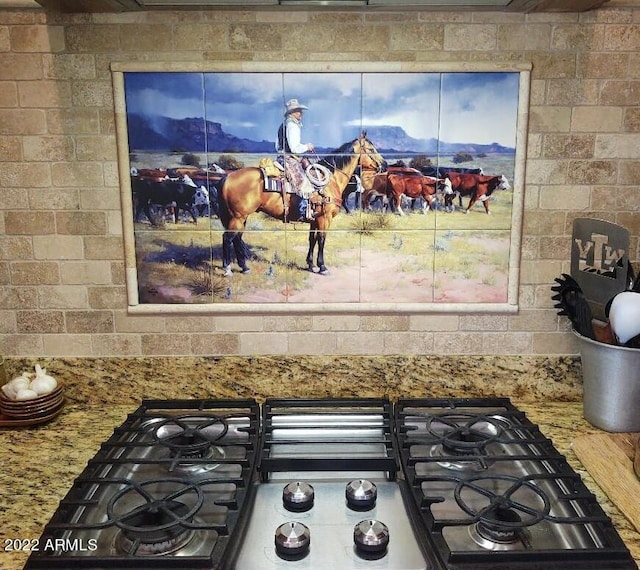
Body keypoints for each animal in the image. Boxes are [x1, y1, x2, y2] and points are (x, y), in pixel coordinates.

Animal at [220, 133, 382, 276]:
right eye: (371, 149)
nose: (384, 164)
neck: (331, 180)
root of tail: (228, 177)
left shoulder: (315, 220)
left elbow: (312, 240)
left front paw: (311, 264)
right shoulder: (325, 218)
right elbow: (322, 240)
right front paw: (322, 267)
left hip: (242, 217)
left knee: (237, 238)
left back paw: (244, 267)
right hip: (238, 217)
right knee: (228, 238)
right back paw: (227, 269)